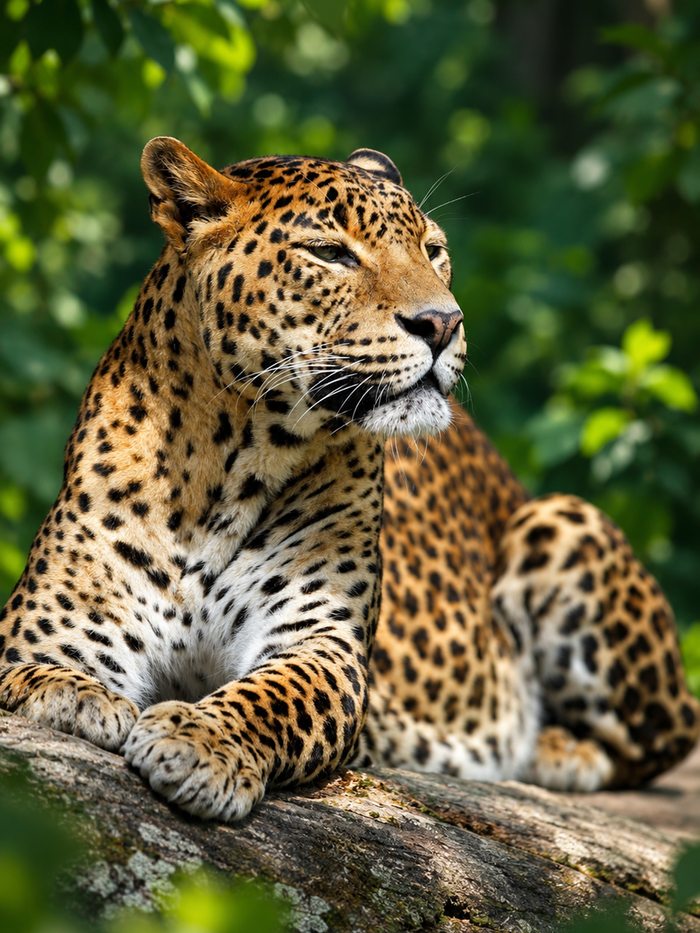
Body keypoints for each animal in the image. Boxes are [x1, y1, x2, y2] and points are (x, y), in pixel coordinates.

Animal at [0, 137, 466, 821]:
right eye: (329, 252)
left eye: (433, 250)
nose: (442, 323)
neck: (229, 467)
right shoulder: (50, 629)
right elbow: (42, 669)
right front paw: (76, 696)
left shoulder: (321, 641)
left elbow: (275, 695)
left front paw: (198, 741)